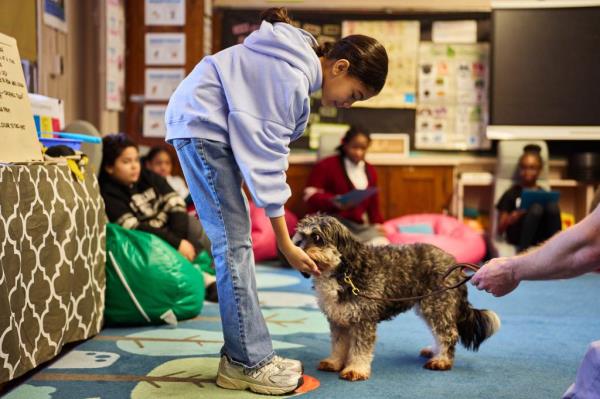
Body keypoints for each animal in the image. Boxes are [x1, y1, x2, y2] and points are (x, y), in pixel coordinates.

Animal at [292, 216, 500, 382]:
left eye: (317, 238)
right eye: (300, 239)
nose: (297, 249)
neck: (344, 272)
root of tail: (453, 262)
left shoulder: (363, 320)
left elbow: (360, 349)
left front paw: (355, 370)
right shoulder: (338, 320)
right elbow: (338, 345)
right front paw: (334, 362)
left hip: (438, 305)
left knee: (448, 334)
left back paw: (442, 360)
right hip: (429, 306)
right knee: (439, 333)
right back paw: (434, 351)